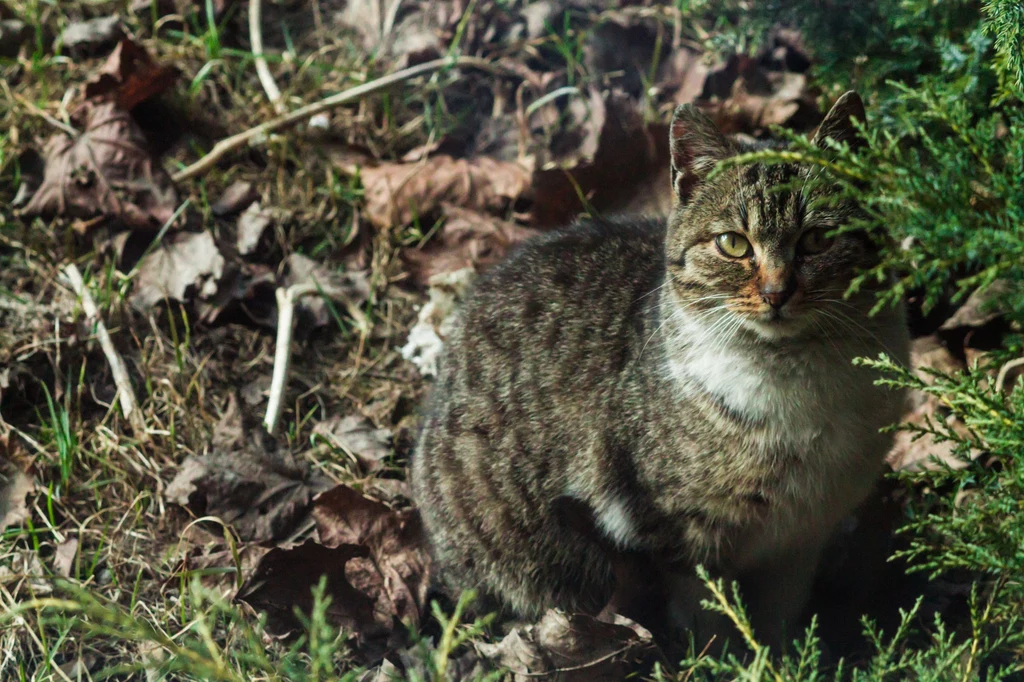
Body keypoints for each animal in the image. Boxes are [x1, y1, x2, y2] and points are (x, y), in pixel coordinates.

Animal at [411, 91, 909, 647]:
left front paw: (781, 653)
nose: (777, 292)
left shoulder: (804, 535)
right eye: (733, 243)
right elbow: (709, 613)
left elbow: (781, 613)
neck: (797, 387)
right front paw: (722, 655)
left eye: (819, 239)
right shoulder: (682, 528)